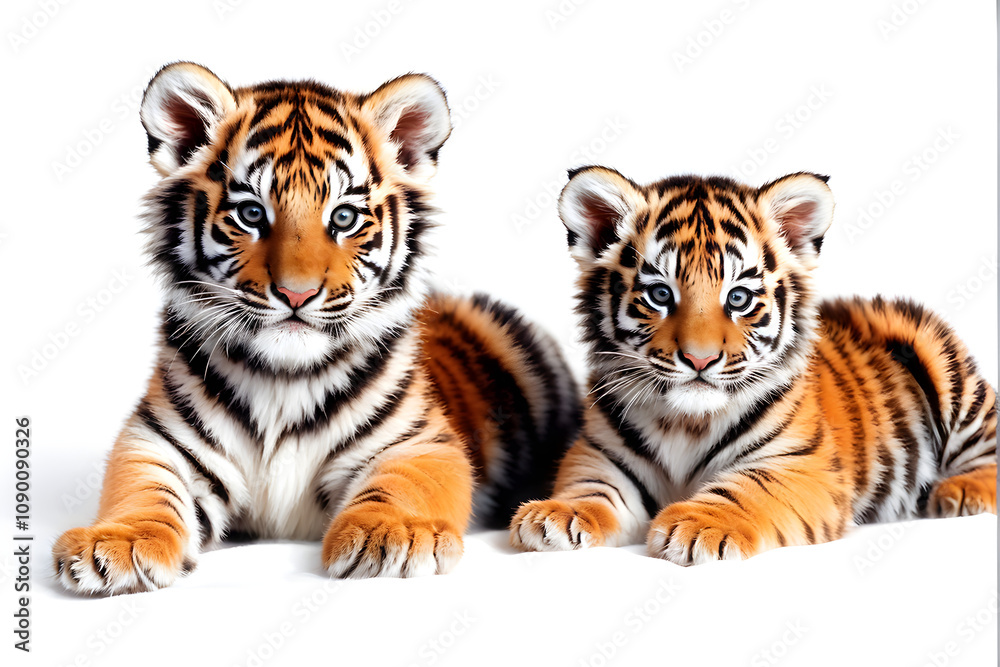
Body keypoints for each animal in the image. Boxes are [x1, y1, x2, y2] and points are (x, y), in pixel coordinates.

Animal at [52, 62, 580, 594]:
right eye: (251, 213)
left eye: (343, 217)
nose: (296, 294)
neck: (284, 379)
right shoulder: (156, 440)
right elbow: (142, 490)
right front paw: (117, 544)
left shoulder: (422, 443)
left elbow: (403, 486)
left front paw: (393, 535)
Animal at [510, 166, 997, 564]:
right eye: (661, 294)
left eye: (739, 298)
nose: (700, 358)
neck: (685, 422)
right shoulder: (599, 454)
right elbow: (592, 488)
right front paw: (554, 516)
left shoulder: (799, 465)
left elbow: (747, 489)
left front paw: (698, 526)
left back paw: (963, 493)